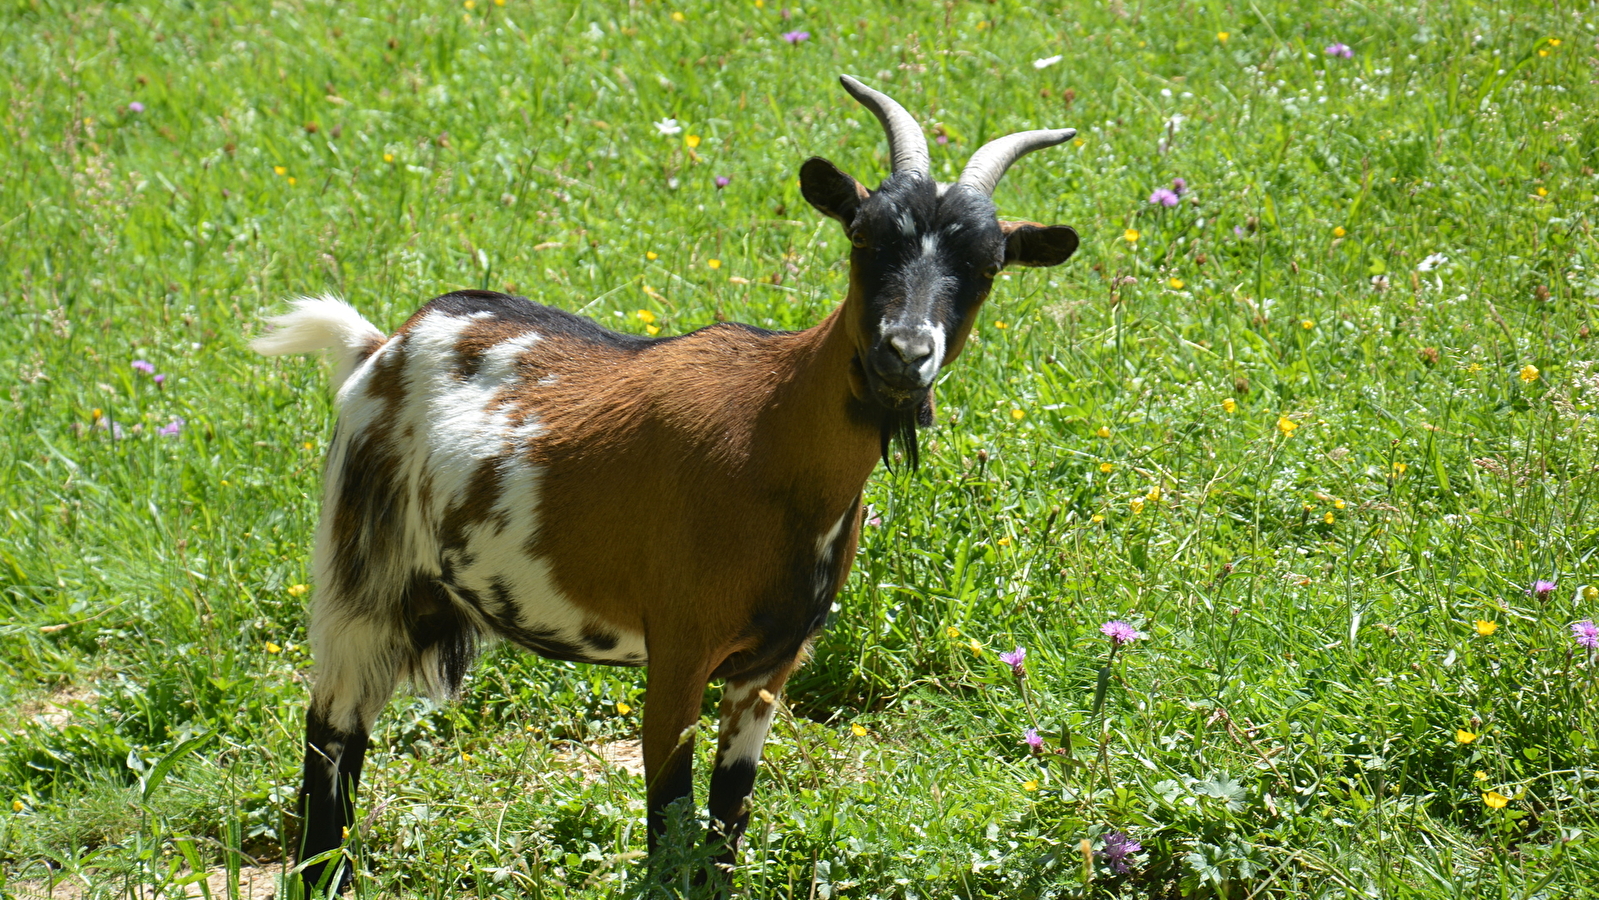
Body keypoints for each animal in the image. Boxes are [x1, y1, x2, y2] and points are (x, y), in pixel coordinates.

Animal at [255, 77, 1080, 895]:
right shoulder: (679, 648)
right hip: (364, 572)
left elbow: (726, 818)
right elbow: (669, 824)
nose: (904, 352)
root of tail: (382, 345)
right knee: (332, 734)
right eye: (862, 235)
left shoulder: (769, 664)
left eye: (987, 265)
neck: (772, 435)